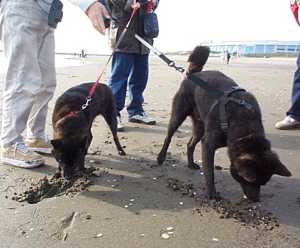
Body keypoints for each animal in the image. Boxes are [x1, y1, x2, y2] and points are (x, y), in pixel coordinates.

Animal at [157, 46, 290, 202]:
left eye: (264, 183)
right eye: (249, 180)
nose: (255, 200)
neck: (244, 123)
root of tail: (194, 74)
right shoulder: (208, 145)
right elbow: (209, 172)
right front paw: (212, 194)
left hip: (200, 126)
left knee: (190, 144)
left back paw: (190, 164)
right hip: (179, 114)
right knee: (169, 136)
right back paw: (160, 158)